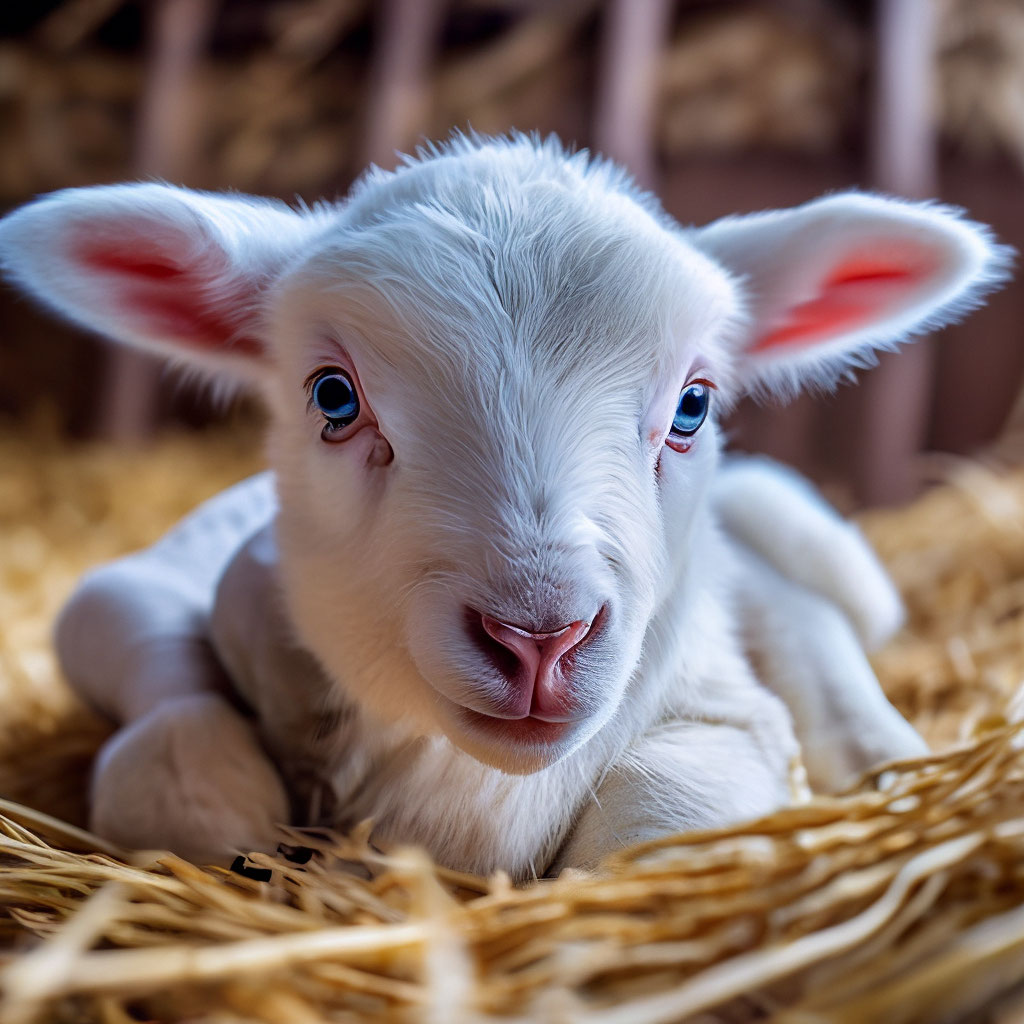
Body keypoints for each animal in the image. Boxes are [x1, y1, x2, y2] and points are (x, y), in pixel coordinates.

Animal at [0, 132, 1007, 876]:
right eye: (333, 396)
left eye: (693, 404)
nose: (538, 639)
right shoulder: (155, 593)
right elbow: (171, 748)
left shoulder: (720, 713)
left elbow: (669, 820)